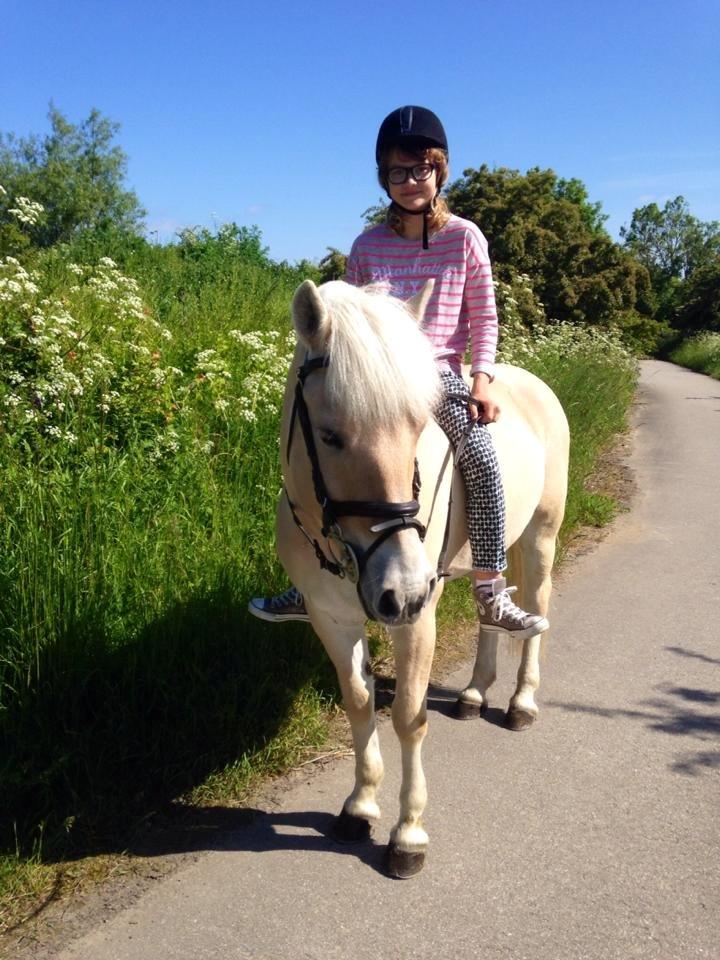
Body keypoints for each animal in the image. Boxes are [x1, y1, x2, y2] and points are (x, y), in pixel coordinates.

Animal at [276, 276, 568, 876]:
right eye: (330, 435)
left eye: (416, 428)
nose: (403, 590)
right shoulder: (332, 618)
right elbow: (359, 702)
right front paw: (360, 805)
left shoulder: (416, 620)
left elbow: (409, 716)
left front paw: (408, 833)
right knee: (489, 610)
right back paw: (475, 693)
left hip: (541, 537)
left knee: (536, 608)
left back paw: (522, 703)